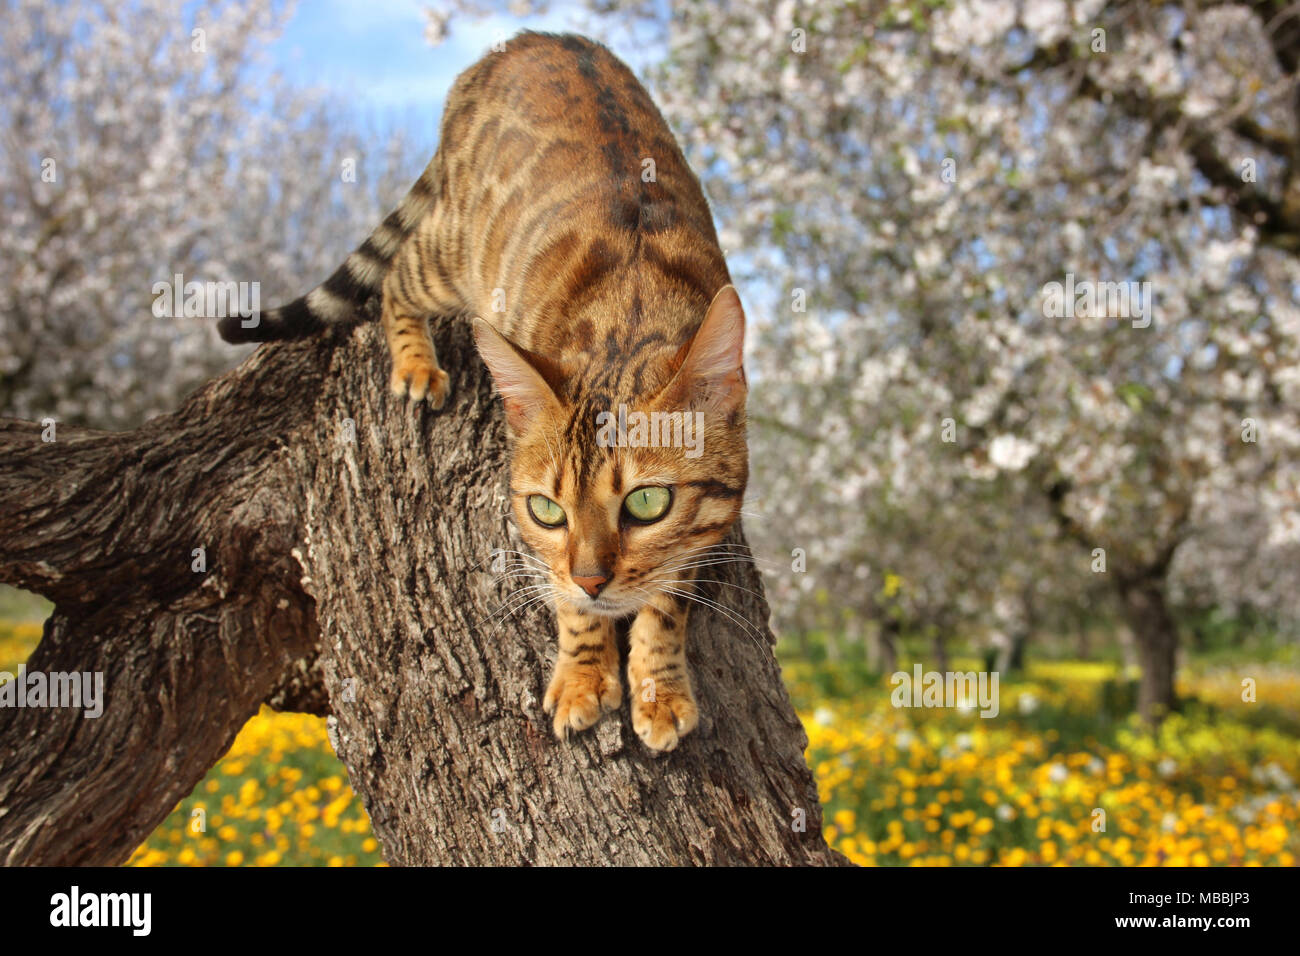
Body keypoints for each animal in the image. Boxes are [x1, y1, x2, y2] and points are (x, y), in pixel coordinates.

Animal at [220, 29, 754, 754]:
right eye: (547, 511)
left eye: (647, 503)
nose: (593, 579)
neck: (630, 310)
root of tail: (518, 42)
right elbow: (566, 601)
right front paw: (584, 676)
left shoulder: (702, 529)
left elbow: (666, 600)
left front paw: (659, 688)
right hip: (453, 254)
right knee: (397, 277)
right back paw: (416, 365)